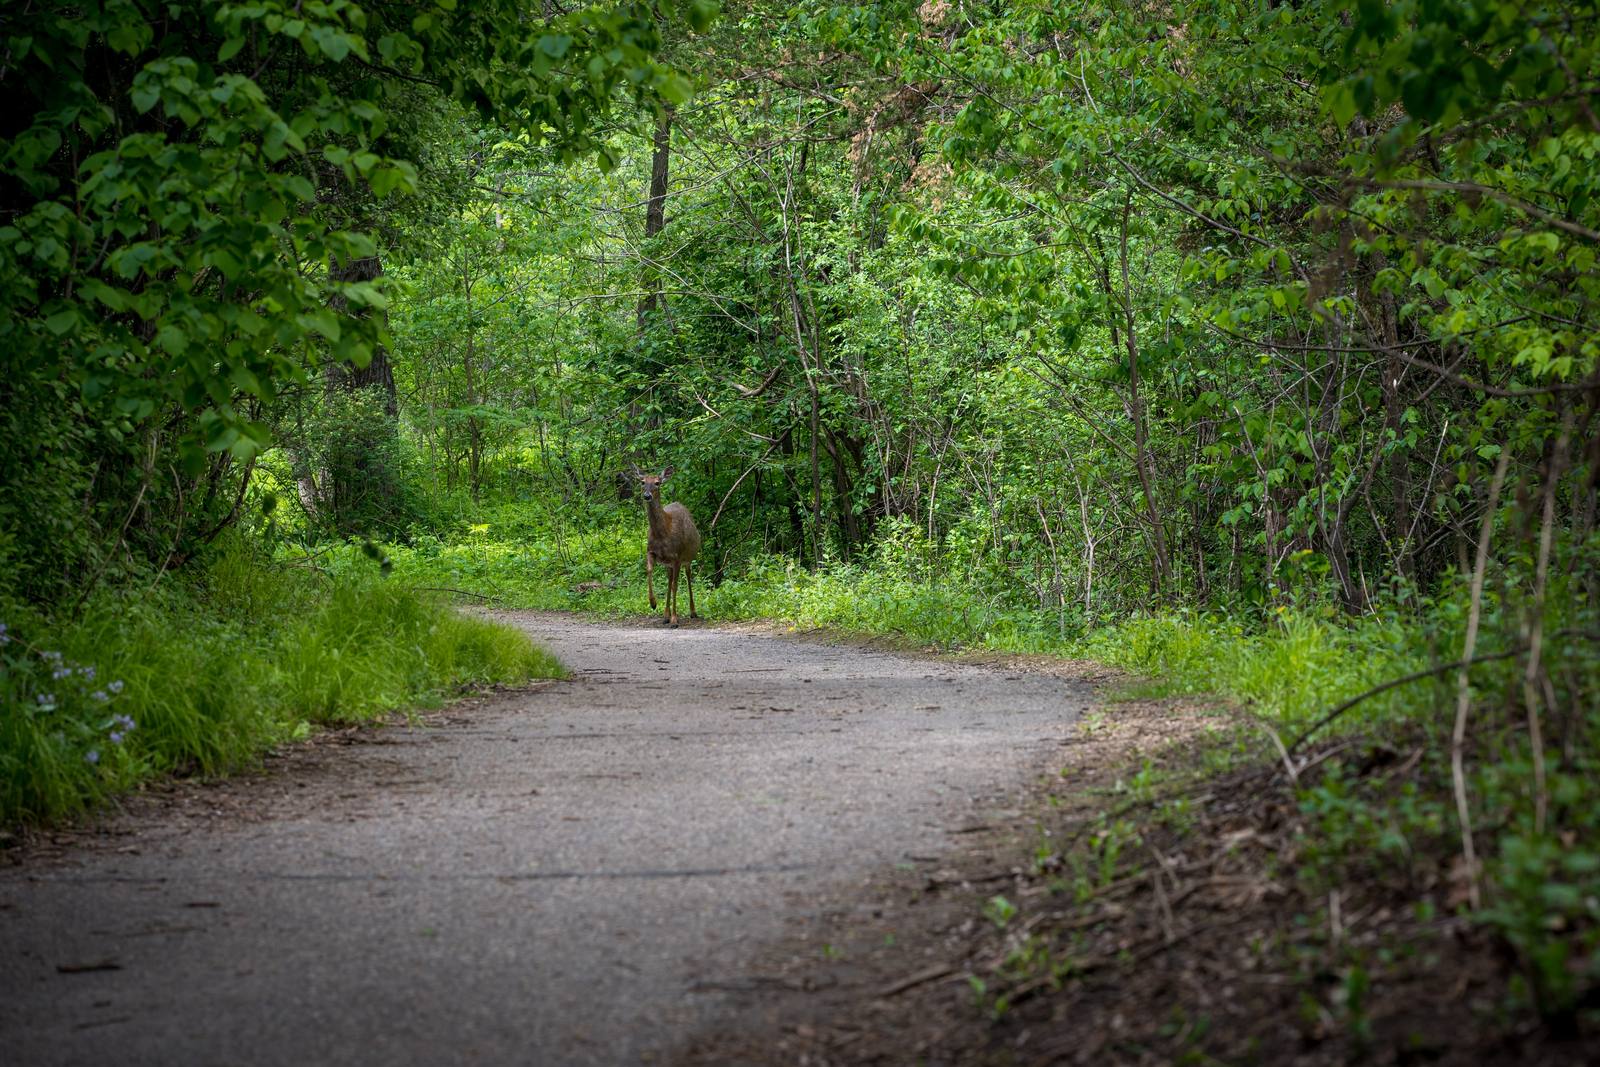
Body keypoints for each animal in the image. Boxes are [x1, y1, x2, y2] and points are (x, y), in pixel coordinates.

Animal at [631, 465, 702, 626]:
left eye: (657, 483)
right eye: (642, 482)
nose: (647, 496)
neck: (663, 533)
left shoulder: (677, 556)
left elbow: (676, 586)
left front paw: (675, 620)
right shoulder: (651, 551)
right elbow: (649, 570)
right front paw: (653, 603)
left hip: (687, 558)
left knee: (687, 577)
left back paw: (692, 612)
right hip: (668, 564)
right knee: (669, 581)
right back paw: (665, 615)